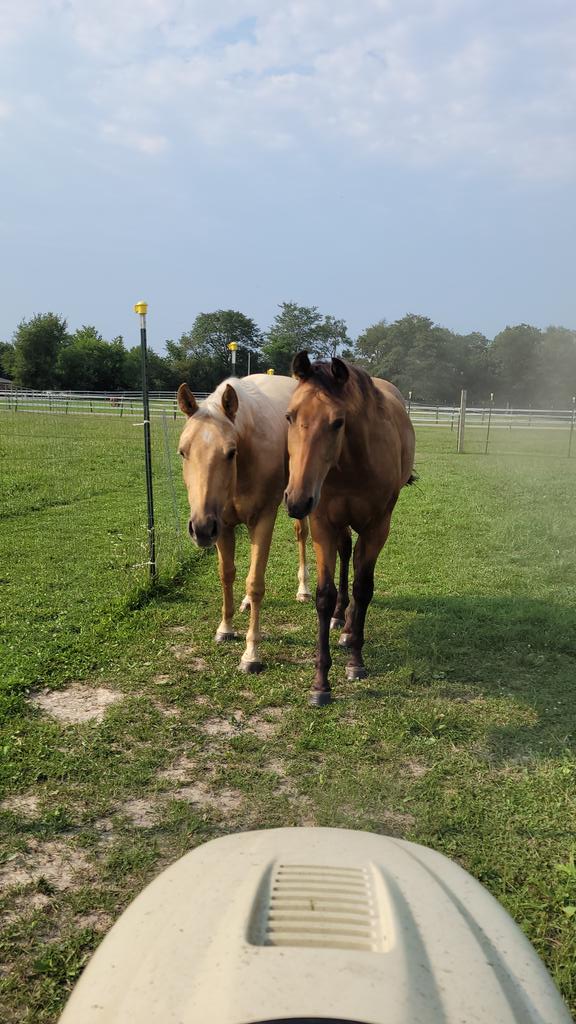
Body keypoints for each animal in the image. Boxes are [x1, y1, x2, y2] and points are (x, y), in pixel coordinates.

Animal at [177, 374, 312, 674]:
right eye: (182, 452)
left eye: (230, 452)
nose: (200, 529)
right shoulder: (223, 526)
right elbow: (227, 574)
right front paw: (225, 628)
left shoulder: (263, 519)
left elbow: (255, 582)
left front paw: (251, 654)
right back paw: (247, 603)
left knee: (302, 535)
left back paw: (304, 590)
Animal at [284, 352, 415, 705]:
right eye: (289, 416)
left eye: (337, 422)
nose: (297, 501)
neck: (351, 464)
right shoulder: (322, 524)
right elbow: (324, 595)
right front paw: (320, 683)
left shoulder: (377, 527)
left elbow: (363, 588)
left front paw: (356, 660)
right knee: (345, 555)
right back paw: (340, 618)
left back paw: (348, 629)